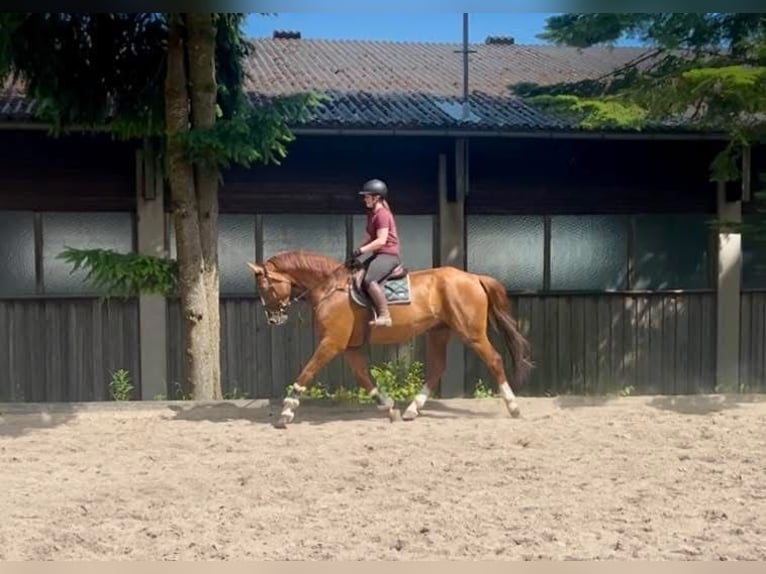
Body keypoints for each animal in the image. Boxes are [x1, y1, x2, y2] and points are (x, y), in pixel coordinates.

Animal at [246, 250, 533, 429]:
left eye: (265, 287)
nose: (273, 319)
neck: (330, 288)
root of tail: (473, 277)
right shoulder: (349, 347)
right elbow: (364, 377)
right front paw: (389, 407)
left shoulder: (331, 343)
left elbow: (307, 372)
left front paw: (286, 411)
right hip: (439, 332)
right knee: (437, 368)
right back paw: (411, 410)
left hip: (471, 333)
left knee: (494, 359)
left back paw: (513, 406)